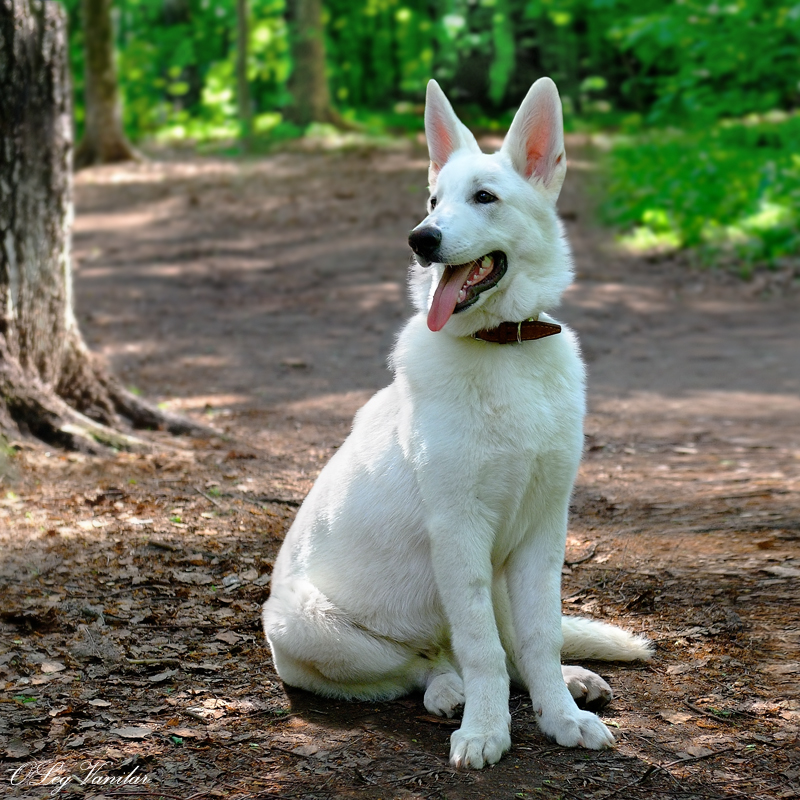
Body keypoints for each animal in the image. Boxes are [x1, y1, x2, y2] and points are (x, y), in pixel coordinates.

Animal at [262, 76, 648, 768]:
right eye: (434, 200)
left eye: (484, 197)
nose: (421, 239)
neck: (505, 348)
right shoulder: (459, 531)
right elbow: (480, 648)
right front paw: (487, 730)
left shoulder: (543, 531)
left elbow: (540, 636)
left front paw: (559, 714)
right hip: (309, 626)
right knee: (421, 663)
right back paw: (449, 691)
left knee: (505, 642)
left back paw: (568, 682)